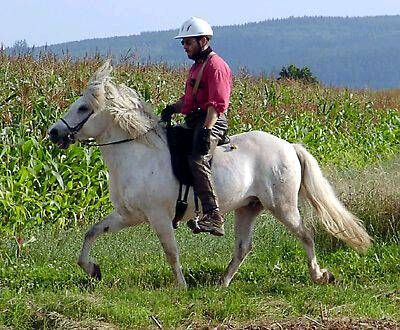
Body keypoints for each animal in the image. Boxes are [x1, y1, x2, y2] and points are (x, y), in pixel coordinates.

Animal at [48, 62, 370, 288]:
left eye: (83, 108)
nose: (54, 132)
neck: (137, 154)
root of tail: (289, 146)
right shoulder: (129, 215)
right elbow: (92, 231)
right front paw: (93, 270)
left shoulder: (158, 216)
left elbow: (171, 251)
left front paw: (181, 287)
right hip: (248, 207)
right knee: (243, 247)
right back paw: (222, 283)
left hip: (282, 205)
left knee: (306, 234)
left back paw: (319, 275)